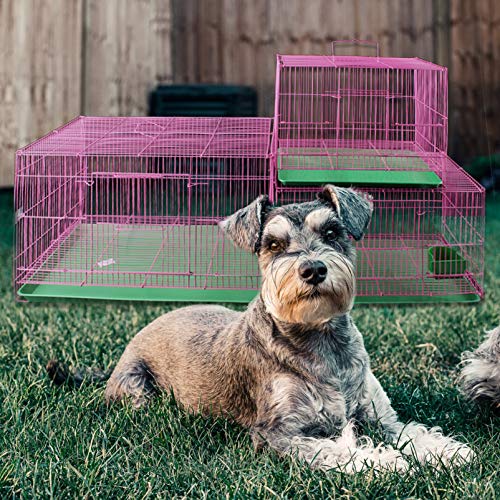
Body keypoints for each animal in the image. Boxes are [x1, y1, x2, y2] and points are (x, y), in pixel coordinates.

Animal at [98, 185, 472, 472]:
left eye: (332, 232)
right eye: (274, 244)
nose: (313, 269)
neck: (322, 340)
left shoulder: (380, 416)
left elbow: (411, 431)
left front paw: (447, 450)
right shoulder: (277, 433)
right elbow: (333, 449)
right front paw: (382, 462)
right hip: (137, 390)